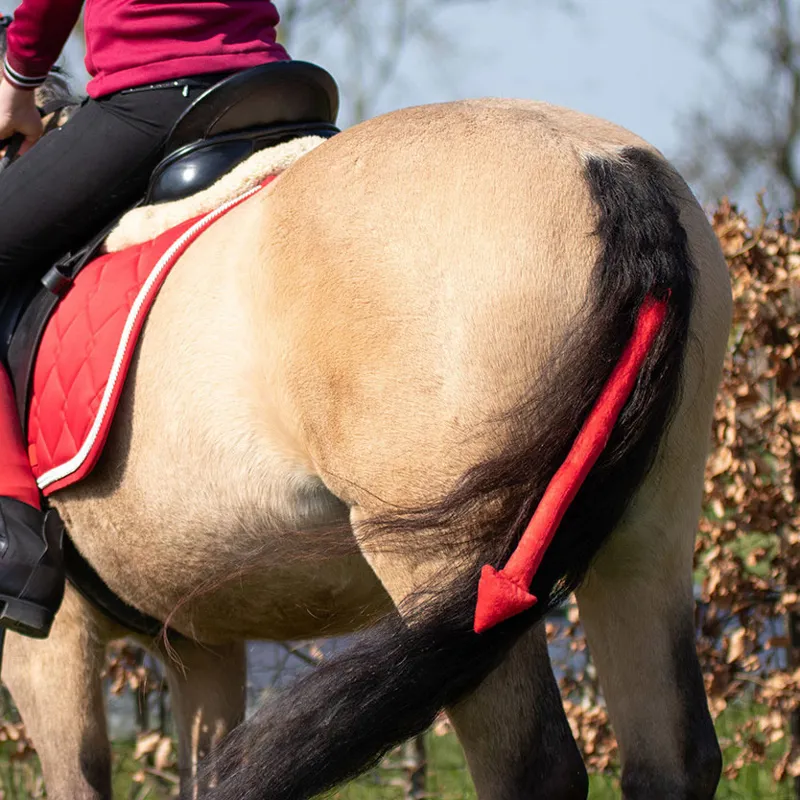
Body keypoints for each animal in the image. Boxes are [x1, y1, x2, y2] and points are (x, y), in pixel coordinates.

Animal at [0, 58, 732, 800]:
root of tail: (600, 164)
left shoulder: (46, 645)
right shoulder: (202, 644)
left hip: (453, 565)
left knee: (534, 769)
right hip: (645, 537)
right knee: (672, 760)